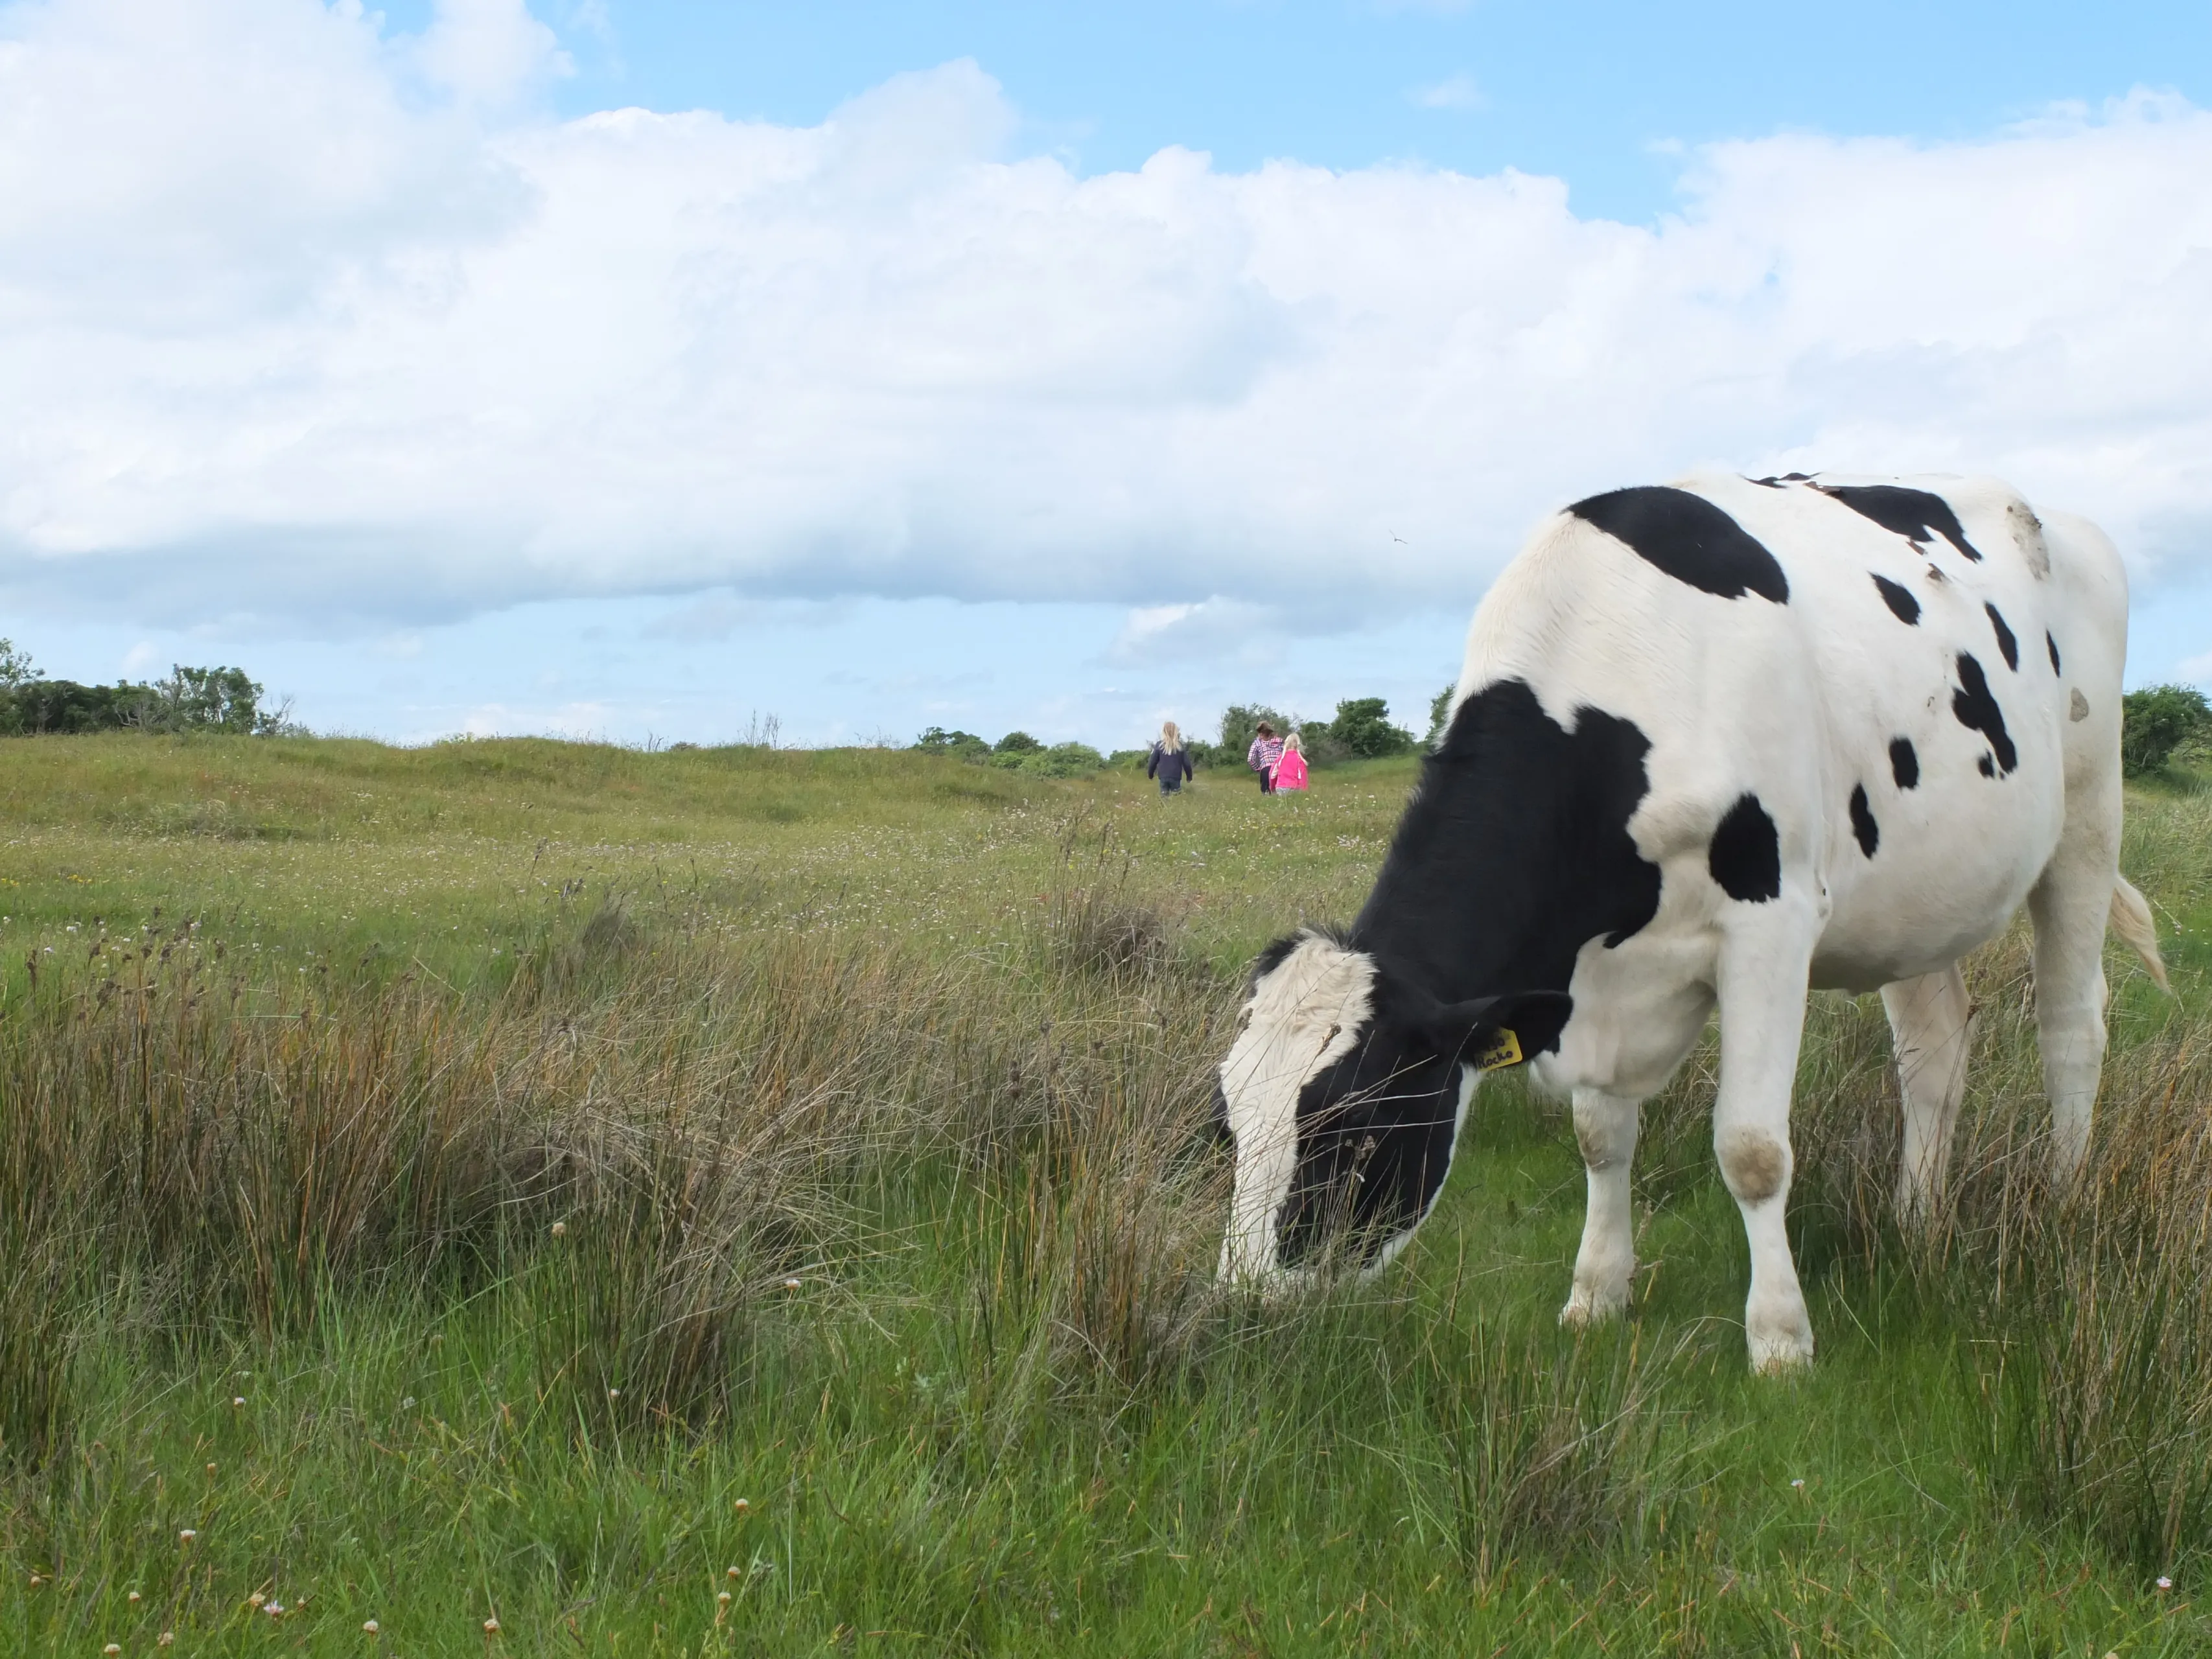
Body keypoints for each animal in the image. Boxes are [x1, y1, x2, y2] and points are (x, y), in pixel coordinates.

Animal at [1215, 472, 2168, 1372]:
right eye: (1225, 1123)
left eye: (1355, 1131)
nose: (1243, 1305)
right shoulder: (1589, 970)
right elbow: (1600, 1138)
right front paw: (1595, 1296)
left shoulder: (1771, 924)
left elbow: (1751, 1149)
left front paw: (1779, 1341)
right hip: (1920, 889)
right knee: (1933, 1046)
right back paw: (1915, 1220)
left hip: (2088, 812)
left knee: (2070, 1023)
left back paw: (2063, 1200)